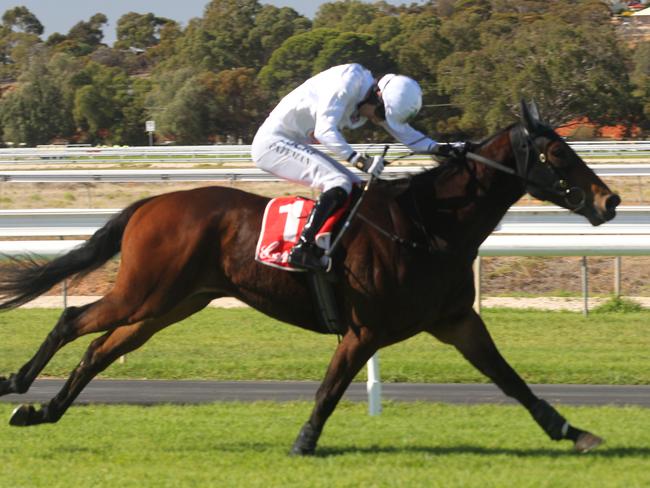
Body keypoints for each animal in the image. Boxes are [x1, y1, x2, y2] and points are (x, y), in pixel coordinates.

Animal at [0, 101, 616, 456]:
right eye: (558, 153)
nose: (609, 201)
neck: (427, 225)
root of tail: (151, 203)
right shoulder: (365, 331)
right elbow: (329, 389)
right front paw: (303, 444)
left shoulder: (456, 320)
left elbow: (511, 380)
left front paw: (573, 431)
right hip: (145, 291)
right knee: (72, 319)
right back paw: (18, 385)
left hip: (171, 304)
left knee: (101, 348)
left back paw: (42, 411)